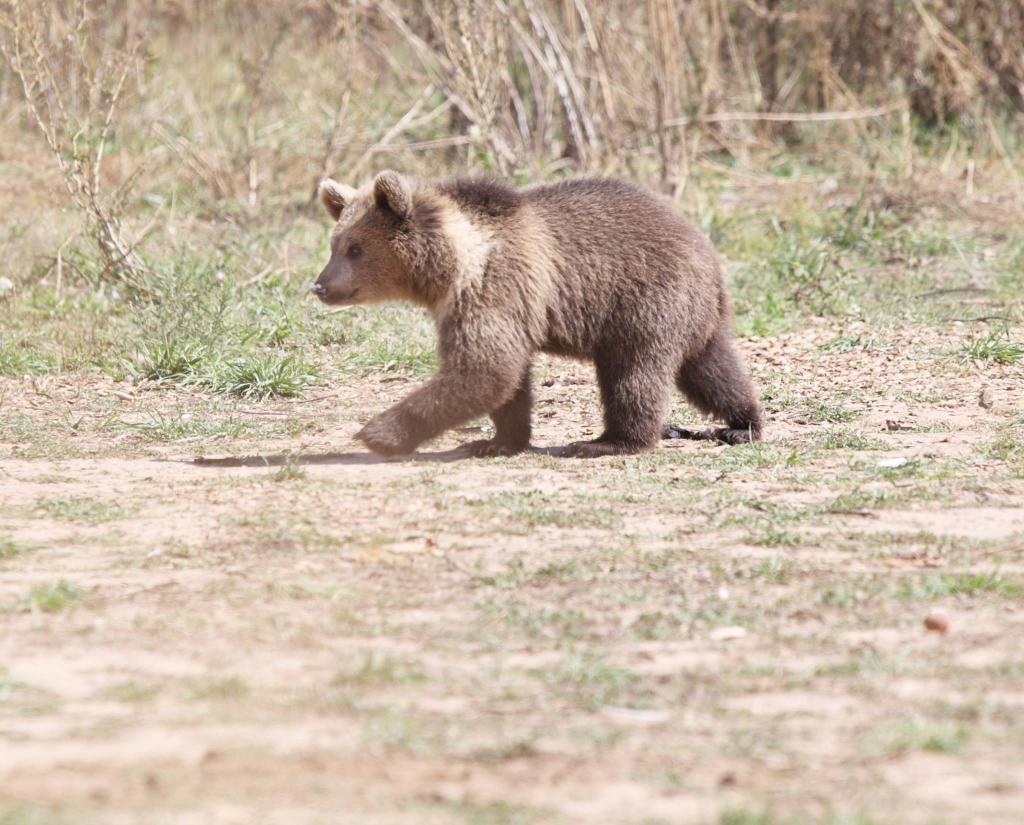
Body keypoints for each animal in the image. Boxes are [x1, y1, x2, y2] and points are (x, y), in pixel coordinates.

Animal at [312, 170, 763, 458]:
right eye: (335, 244)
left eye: (355, 248)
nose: (320, 285)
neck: (453, 264)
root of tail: (706, 250)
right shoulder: (489, 305)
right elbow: (507, 381)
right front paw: (496, 440)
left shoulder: (494, 286)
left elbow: (485, 369)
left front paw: (377, 433)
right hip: (692, 315)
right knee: (711, 368)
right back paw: (741, 423)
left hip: (644, 301)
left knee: (634, 375)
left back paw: (608, 441)